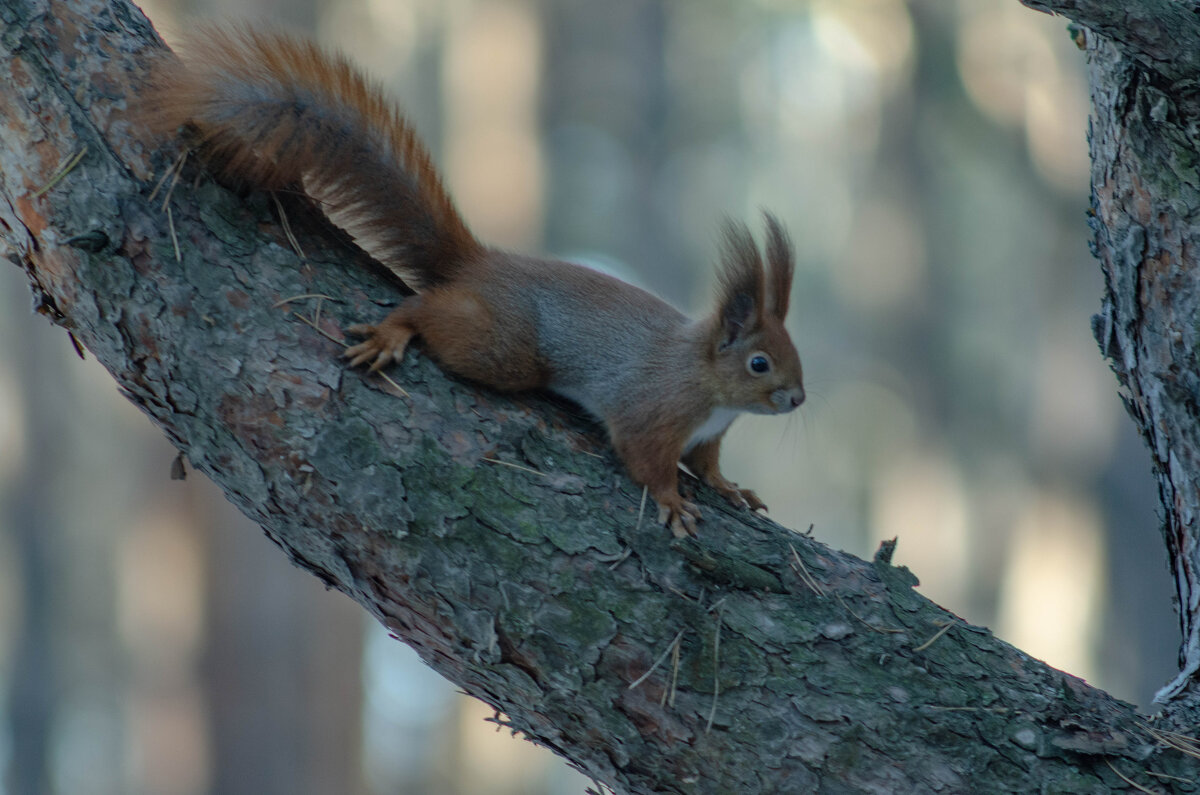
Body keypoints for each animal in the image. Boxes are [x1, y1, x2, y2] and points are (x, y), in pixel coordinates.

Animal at [150, 29, 806, 542]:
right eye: (759, 363)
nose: (798, 400)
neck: (706, 383)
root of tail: (481, 265)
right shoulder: (653, 411)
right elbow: (648, 462)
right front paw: (672, 502)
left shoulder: (706, 435)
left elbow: (707, 463)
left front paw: (731, 486)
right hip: (507, 347)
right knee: (428, 307)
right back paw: (395, 330)